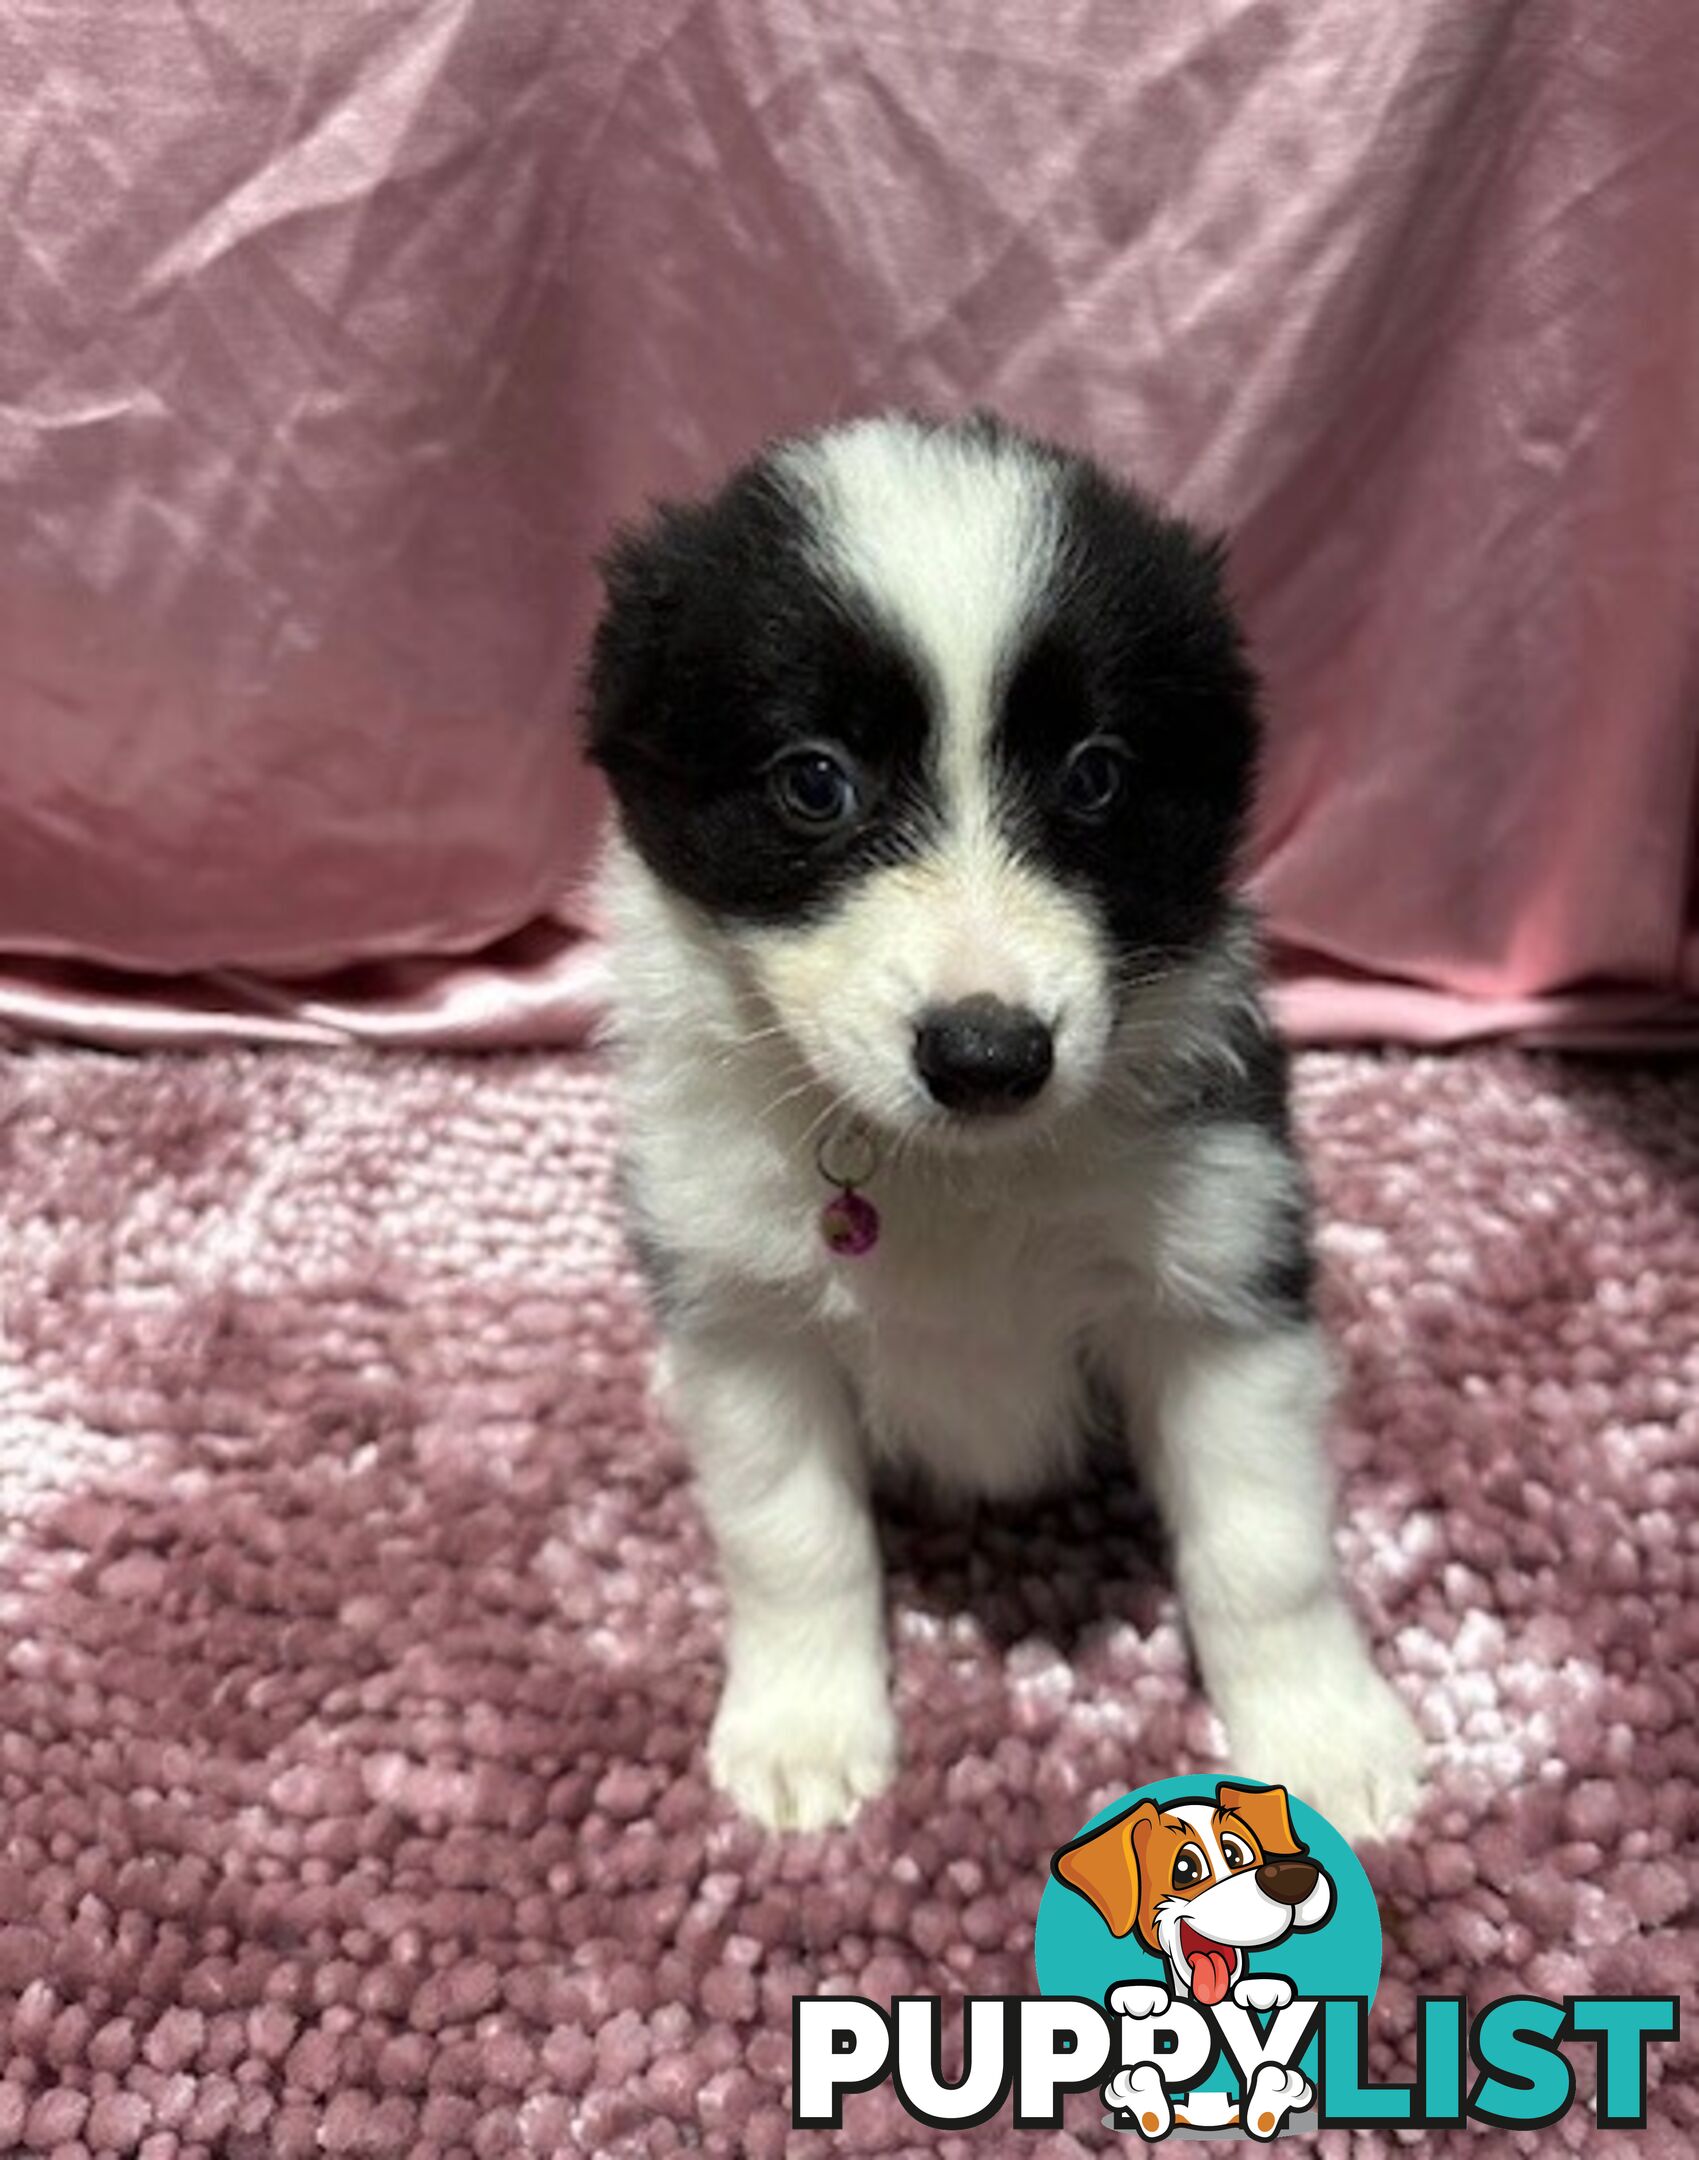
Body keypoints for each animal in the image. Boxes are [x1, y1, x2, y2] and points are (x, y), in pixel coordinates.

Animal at [582, 412, 1424, 1831]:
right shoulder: (743, 1308)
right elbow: (788, 1534)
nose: (987, 1056)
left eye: (1095, 776)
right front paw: (805, 1730)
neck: (953, 1174)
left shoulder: (1220, 1263)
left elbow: (1266, 1545)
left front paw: (1322, 1738)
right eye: (815, 782)